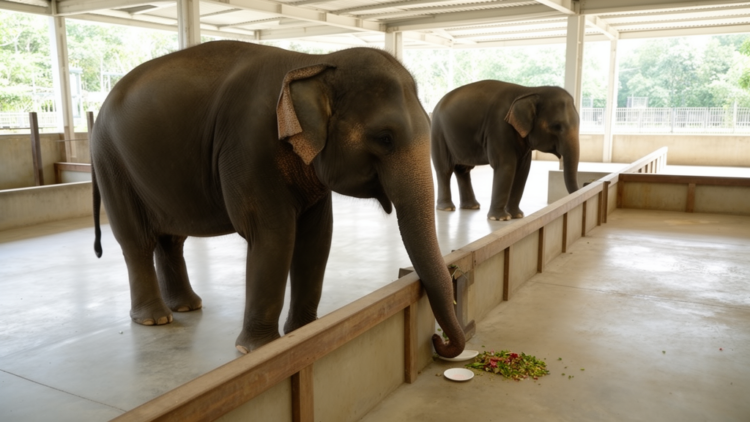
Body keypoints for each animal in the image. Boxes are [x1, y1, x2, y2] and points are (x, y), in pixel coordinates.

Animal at [90, 40, 465, 357]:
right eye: (385, 138)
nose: (437, 341)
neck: (315, 62)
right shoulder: (250, 146)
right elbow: (274, 235)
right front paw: (256, 350)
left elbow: (317, 238)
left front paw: (305, 332)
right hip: (111, 162)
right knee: (136, 241)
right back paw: (155, 319)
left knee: (170, 240)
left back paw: (186, 307)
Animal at [431, 80, 580, 221]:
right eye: (557, 126)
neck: (529, 91)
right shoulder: (498, 126)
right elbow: (506, 165)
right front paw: (500, 218)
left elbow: (523, 169)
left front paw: (516, 216)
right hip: (438, 134)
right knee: (444, 169)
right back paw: (447, 208)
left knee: (463, 170)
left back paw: (471, 206)